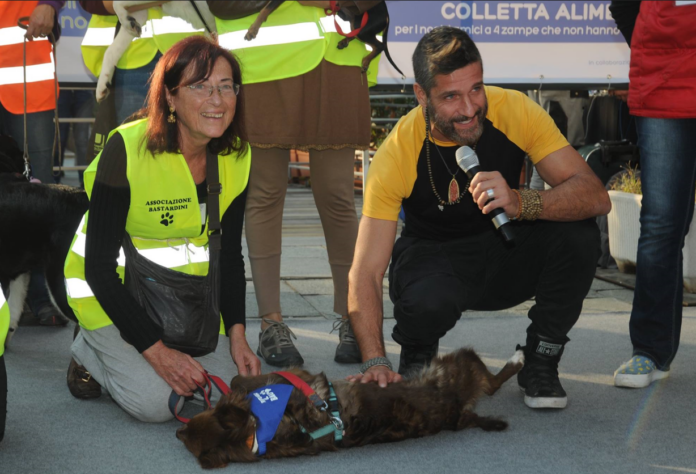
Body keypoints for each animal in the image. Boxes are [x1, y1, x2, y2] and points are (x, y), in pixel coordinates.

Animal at [177, 346, 524, 468]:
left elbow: (238, 379)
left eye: (191, 426)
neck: (257, 431)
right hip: (457, 362)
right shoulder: (294, 376)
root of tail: (457, 413)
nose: (179, 432)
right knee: (491, 382)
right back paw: (517, 360)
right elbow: (239, 379)